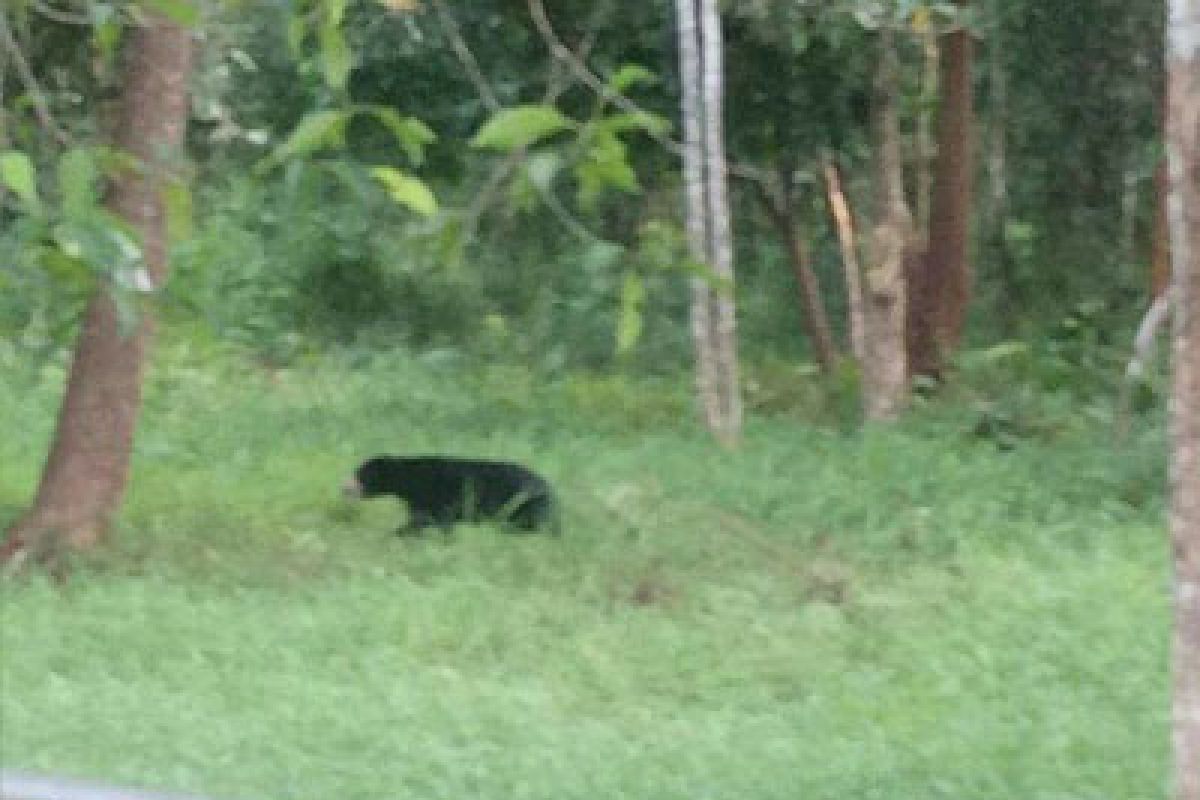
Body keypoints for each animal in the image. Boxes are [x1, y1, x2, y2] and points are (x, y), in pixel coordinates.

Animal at [340, 455, 559, 537]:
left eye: (359, 474)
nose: (344, 488)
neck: (411, 480)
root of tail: (548, 486)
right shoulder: (420, 499)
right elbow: (420, 519)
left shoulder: (436, 495)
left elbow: (432, 520)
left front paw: (397, 534)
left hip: (521, 504)